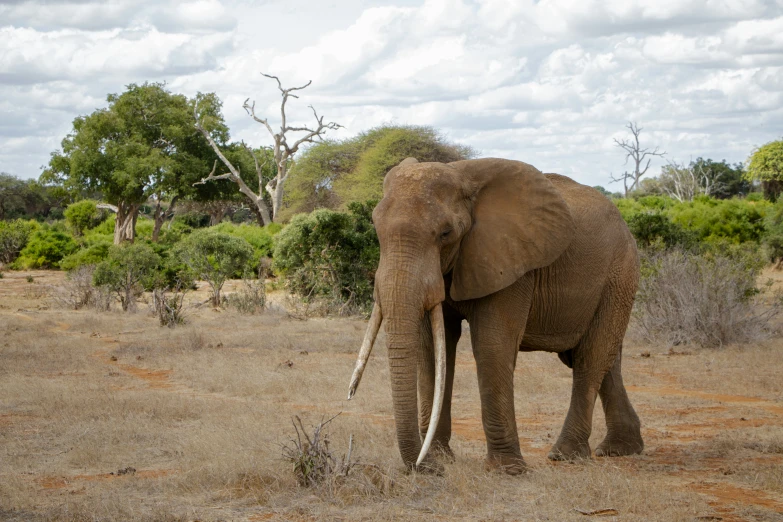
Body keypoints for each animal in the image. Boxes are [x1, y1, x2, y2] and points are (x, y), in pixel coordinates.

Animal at [348, 157, 644, 472]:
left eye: (446, 233)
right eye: (376, 228)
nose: (427, 469)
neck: (461, 174)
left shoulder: (511, 261)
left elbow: (492, 345)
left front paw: (507, 470)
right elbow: (431, 350)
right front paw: (440, 457)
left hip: (620, 275)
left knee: (590, 357)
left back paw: (565, 454)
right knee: (602, 359)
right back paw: (620, 449)